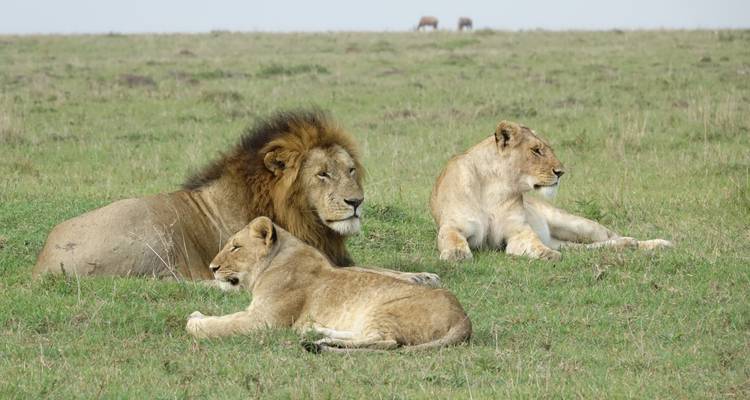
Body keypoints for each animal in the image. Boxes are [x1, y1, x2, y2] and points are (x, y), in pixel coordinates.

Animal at [32, 109, 437, 286]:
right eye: (322, 174)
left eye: (350, 170)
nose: (356, 202)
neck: (302, 217)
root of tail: (43, 262)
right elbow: (364, 272)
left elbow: (375, 269)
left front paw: (421, 275)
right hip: (152, 230)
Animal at [186, 216, 472, 353]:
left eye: (235, 247)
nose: (212, 268)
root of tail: (464, 319)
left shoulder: (263, 320)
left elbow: (221, 325)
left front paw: (194, 320)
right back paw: (317, 333)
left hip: (384, 310)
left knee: (388, 342)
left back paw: (321, 341)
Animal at [430, 120, 673, 262]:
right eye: (536, 151)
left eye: (548, 149)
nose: (561, 172)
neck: (495, 186)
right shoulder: (454, 225)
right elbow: (451, 238)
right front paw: (457, 254)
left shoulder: (518, 231)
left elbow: (534, 243)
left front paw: (547, 254)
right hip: (568, 241)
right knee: (585, 248)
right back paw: (628, 245)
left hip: (576, 224)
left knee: (610, 236)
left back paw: (653, 243)